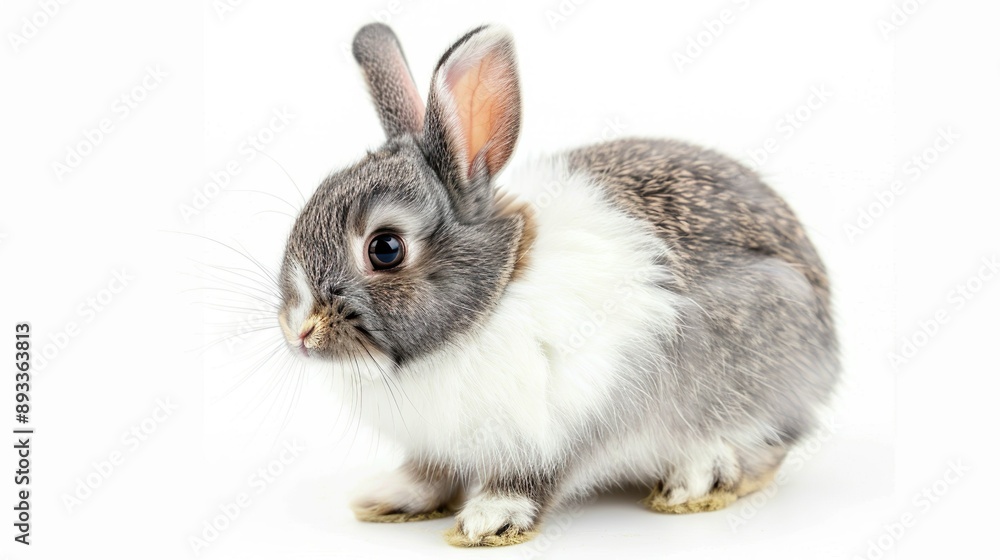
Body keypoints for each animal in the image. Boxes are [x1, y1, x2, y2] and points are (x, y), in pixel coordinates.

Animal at [276, 22, 839, 547]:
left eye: (386, 249)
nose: (299, 331)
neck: (495, 296)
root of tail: (827, 349)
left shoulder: (565, 425)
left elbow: (533, 480)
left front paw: (488, 521)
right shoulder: (438, 446)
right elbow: (430, 473)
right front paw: (388, 497)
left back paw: (694, 481)